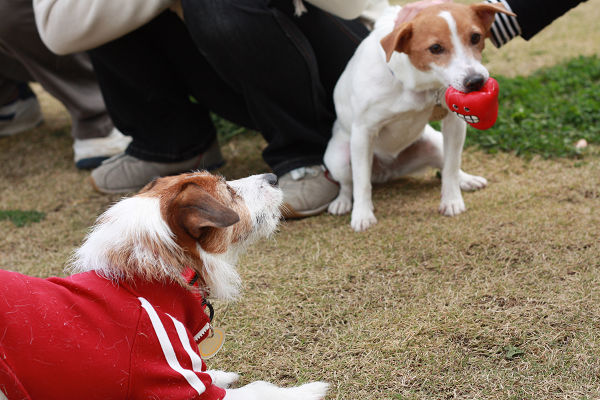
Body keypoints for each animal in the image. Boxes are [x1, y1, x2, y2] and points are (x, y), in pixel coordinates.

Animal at [0, 172, 328, 400]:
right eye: (228, 191)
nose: (273, 176)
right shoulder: (171, 379)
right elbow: (259, 388)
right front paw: (306, 390)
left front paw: (218, 373)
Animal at [324, 2, 516, 231]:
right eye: (435, 48)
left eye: (476, 37)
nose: (475, 81)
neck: (416, 84)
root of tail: (387, 170)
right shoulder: (363, 132)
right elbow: (361, 182)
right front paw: (362, 214)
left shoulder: (454, 123)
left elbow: (451, 167)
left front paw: (451, 201)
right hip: (338, 159)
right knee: (347, 183)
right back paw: (342, 203)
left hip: (435, 142)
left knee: (446, 164)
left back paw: (467, 180)